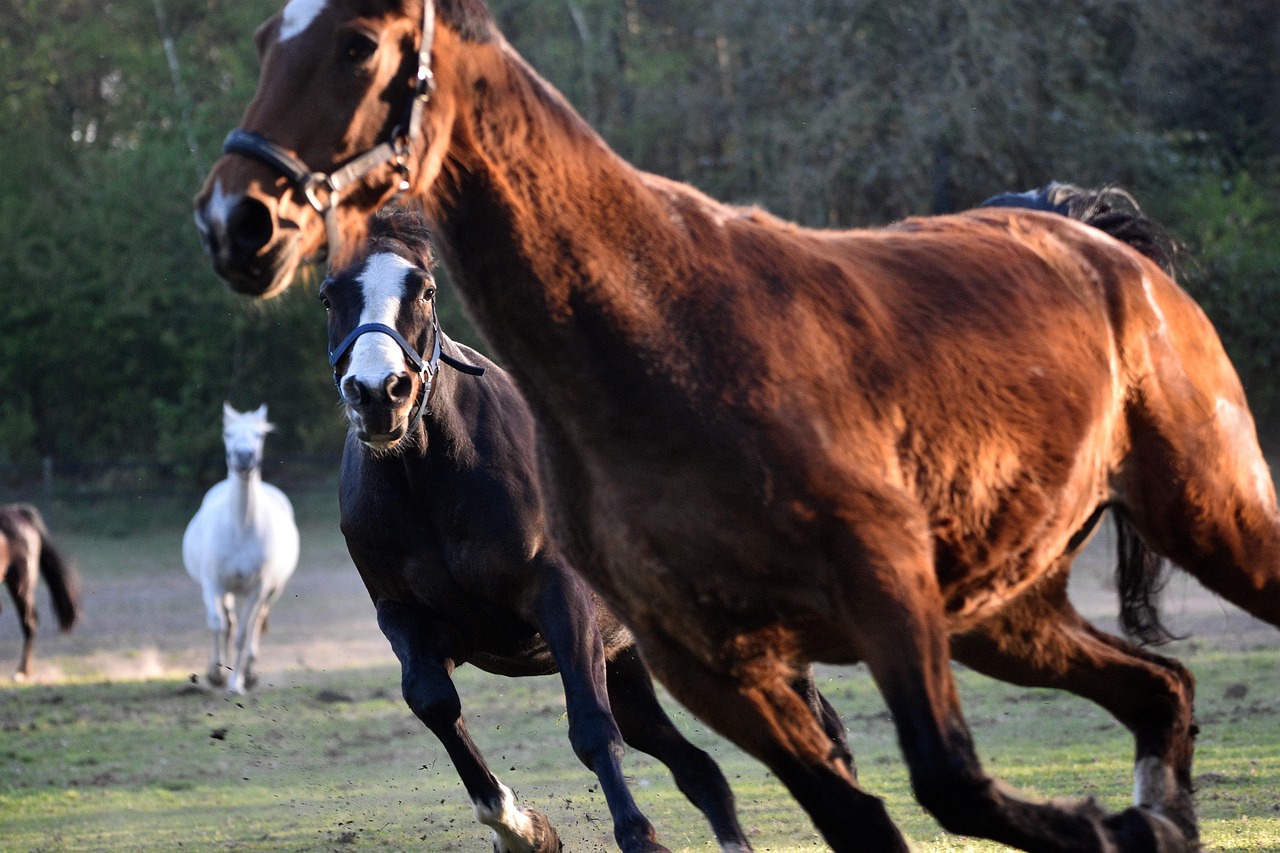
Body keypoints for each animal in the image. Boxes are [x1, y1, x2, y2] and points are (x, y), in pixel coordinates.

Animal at [182, 403, 300, 694]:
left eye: (259, 435)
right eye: (228, 433)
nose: (244, 458)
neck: (240, 528)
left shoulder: (258, 589)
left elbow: (243, 634)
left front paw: (236, 684)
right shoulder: (213, 584)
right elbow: (217, 624)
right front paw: (215, 675)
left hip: (271, 592)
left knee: (254, 625)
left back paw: (248, 673)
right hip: (227, 591)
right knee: (228, 623)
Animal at [322, 206, 848, 853]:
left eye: (424, 290)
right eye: (328, 295)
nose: (378, 394)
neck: (428, 480)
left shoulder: (559, 597)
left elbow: (592, 731)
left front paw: (636, 837)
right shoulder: (406, 617)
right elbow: (435, 703)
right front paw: (522, 829)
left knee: (820, 731)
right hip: (631, 662)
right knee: (700, 768)